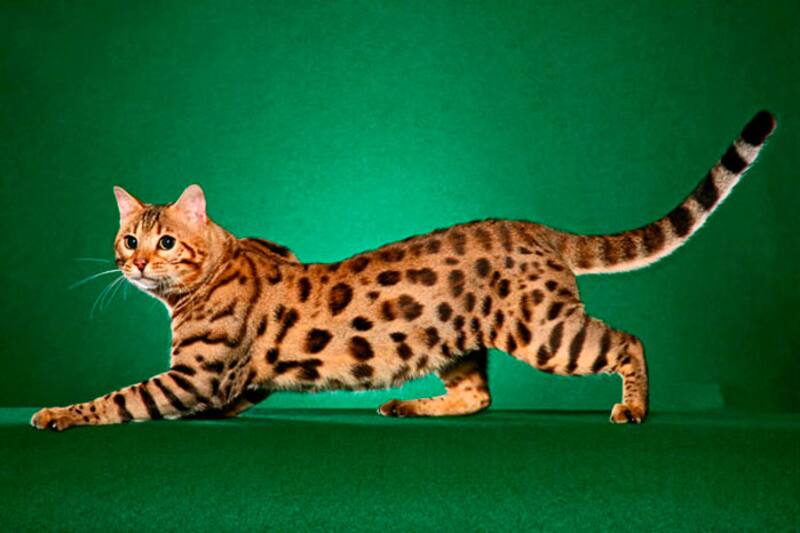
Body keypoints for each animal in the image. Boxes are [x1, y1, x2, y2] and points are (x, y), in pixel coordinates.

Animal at [31, 111, 775, 430]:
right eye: (128, 238)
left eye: (164, 242)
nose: (134, 263)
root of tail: (531, 227)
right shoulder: (227, 383)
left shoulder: (196, 375)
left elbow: (121, 398)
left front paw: (59, 412)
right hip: (457, 336)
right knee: (478, 396)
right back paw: (407, 405)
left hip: (543, 330)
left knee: (629, 341)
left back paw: (635, 406)